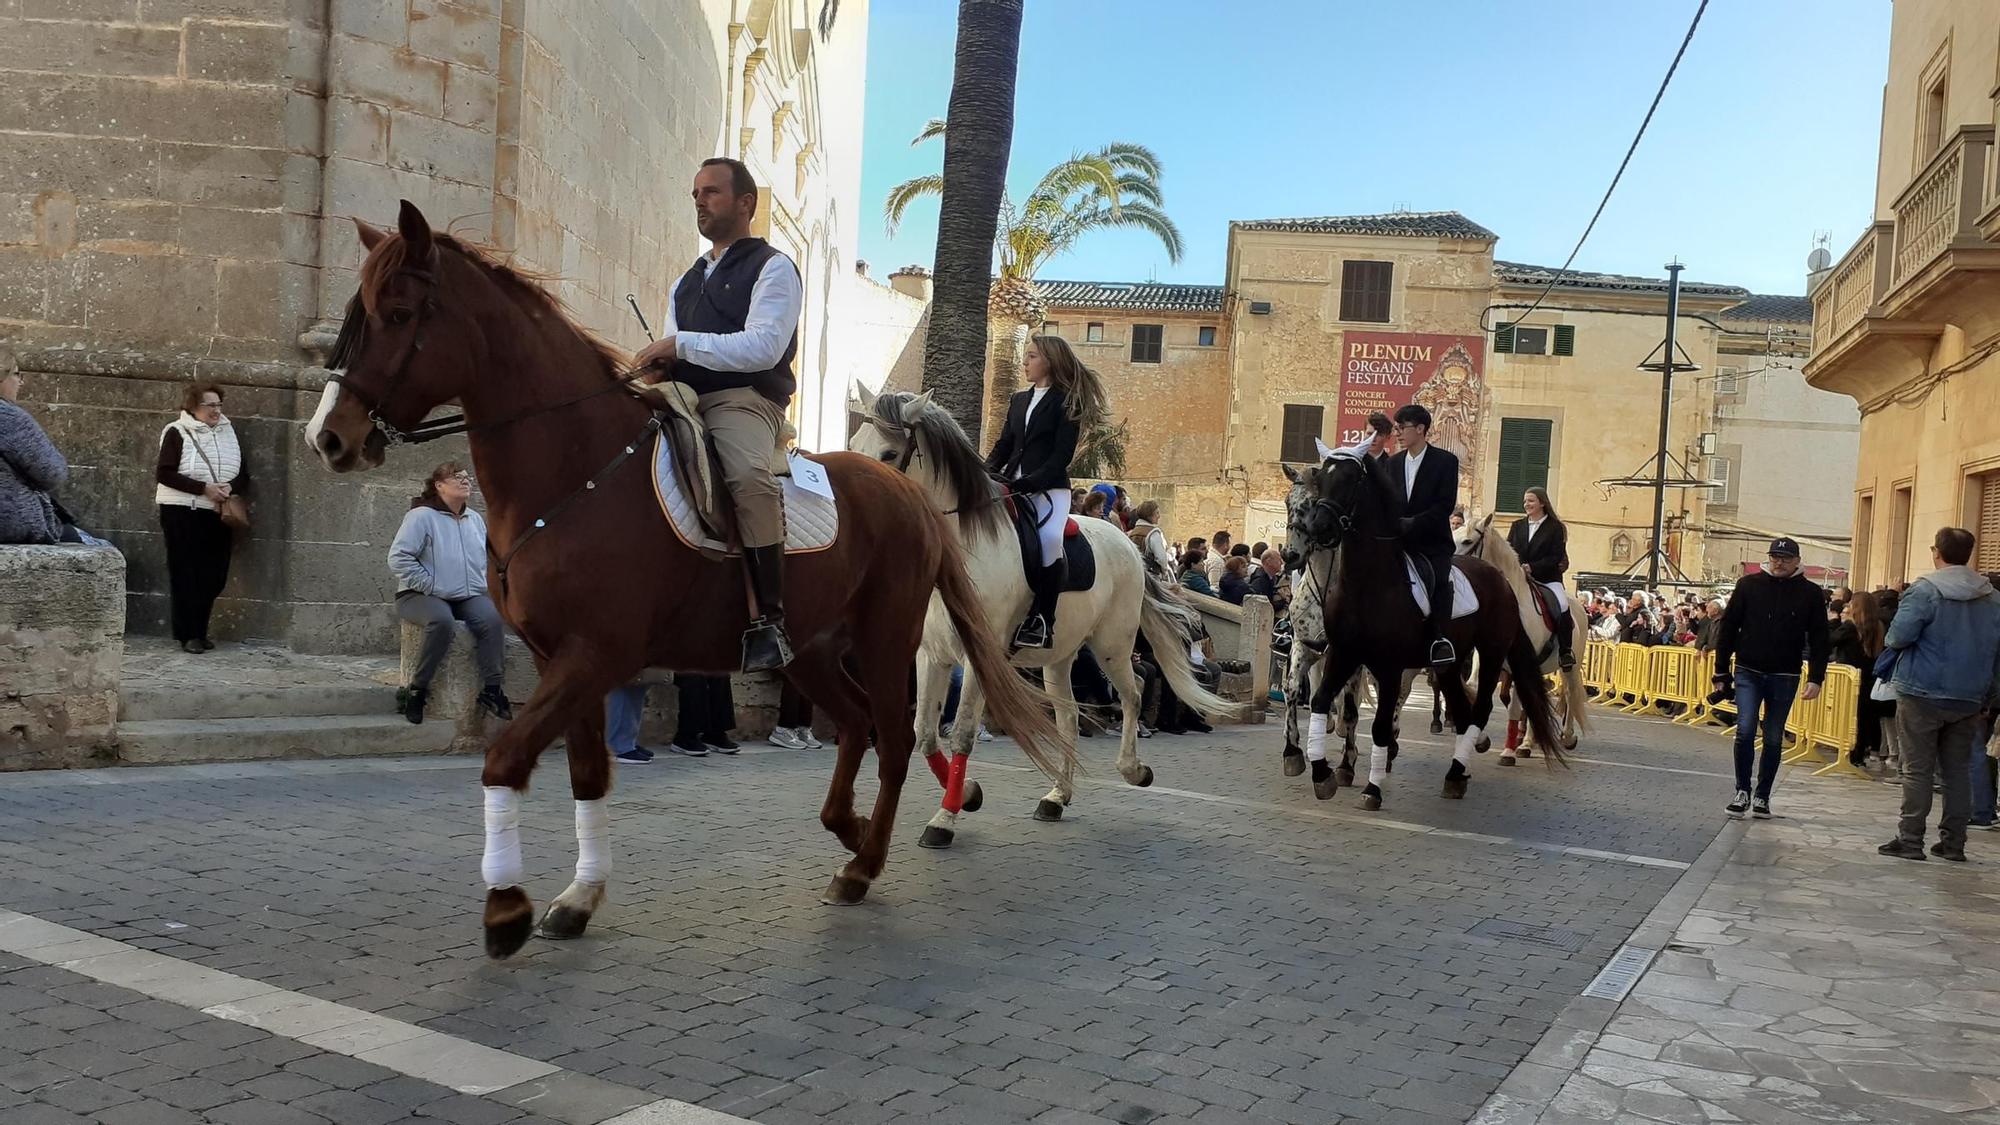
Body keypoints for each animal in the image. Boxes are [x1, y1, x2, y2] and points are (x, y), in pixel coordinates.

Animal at [844, 388, 1232, 840]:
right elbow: (924, 733)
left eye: (889, 454)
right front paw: (968, 795)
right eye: (854, 445)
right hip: (1060, 655)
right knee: (1068, 715)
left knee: (1133, 691)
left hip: (1112, 644)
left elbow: (961, 735)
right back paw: (1057, 796)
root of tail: (1128, 544)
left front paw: (945, 818)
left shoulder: (978, 658)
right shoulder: (931, 655)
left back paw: (1133, 770)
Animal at [1280, 450, 1560, 808]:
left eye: (1349, 480)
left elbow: (1373, 722)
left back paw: (1455, 765)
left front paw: (1365, 782)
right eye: (1291, 502)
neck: (1365, 584)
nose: (1292, 554)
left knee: (1478, 708)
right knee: (1461, 706)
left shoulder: (1385, 666)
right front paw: (1313, 767)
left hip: (1490, 653)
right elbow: (1313, 699)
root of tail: (1503, 580)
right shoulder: (1335, 652)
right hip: (1449, 663)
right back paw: (1455, 773)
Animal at [1456, 512, 1592, 756]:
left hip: (1570, 666)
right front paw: (1481, 739)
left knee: (1569, 693)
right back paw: (1529, 740)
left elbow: (1516, 704)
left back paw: (1564, 737)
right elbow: (1473, 687)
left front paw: (1509, 751)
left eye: (1467, 541)